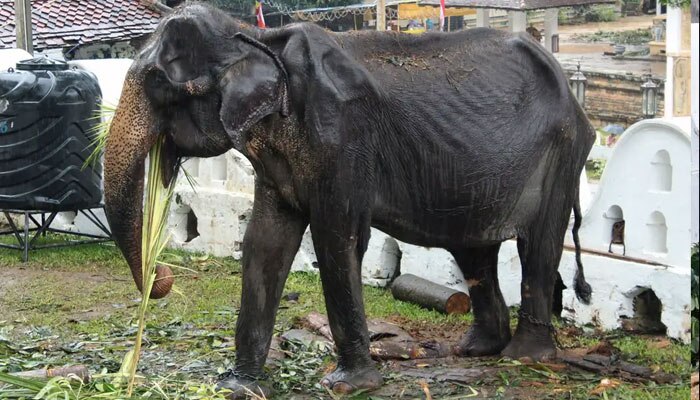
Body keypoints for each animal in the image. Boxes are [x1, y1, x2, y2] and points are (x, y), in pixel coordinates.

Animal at [102, 2, 596, 396]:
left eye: (159, 85)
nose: (163, 274)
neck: (256, 39)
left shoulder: (342, 139)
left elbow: (337, 240)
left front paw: (347, 385)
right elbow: (264, 244)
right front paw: (238, 386)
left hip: (562, 154)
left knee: (538, 246)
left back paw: (525, 357)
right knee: (473, 250)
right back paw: (477, 350)